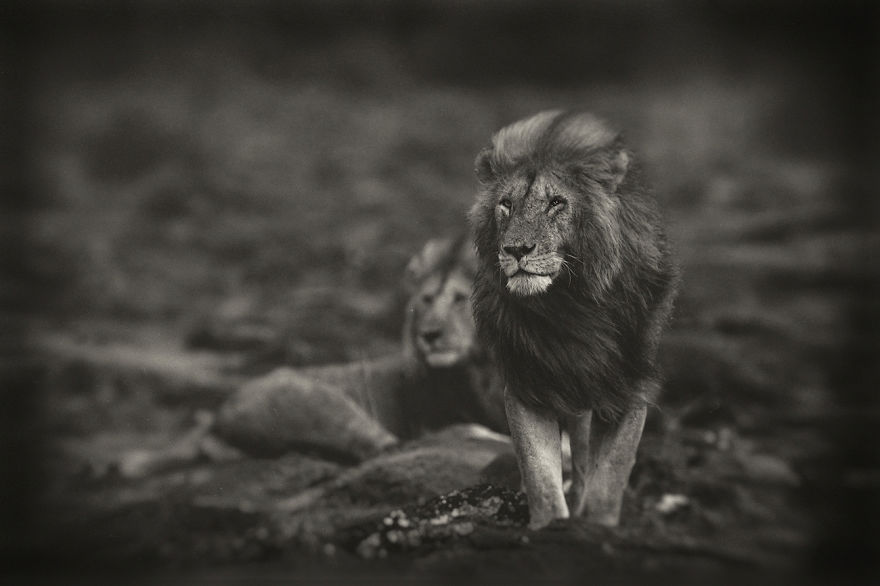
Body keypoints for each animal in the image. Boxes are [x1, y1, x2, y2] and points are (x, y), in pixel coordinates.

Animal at [118, 236, 507, 476]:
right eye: (425, 301)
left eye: (458, 299)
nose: (429, 335)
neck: (484, 365)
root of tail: (217, 416)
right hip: (320, 403)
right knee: (386, 447)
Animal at [469, 111, 679, 528]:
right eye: (505, 204)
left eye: (556, 203)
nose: (516, 249)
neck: (569, 304)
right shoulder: (526, 385)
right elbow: (541, 477)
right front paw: (551, 526)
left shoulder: (629, 387)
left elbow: (609, 478)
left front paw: (595, 527)